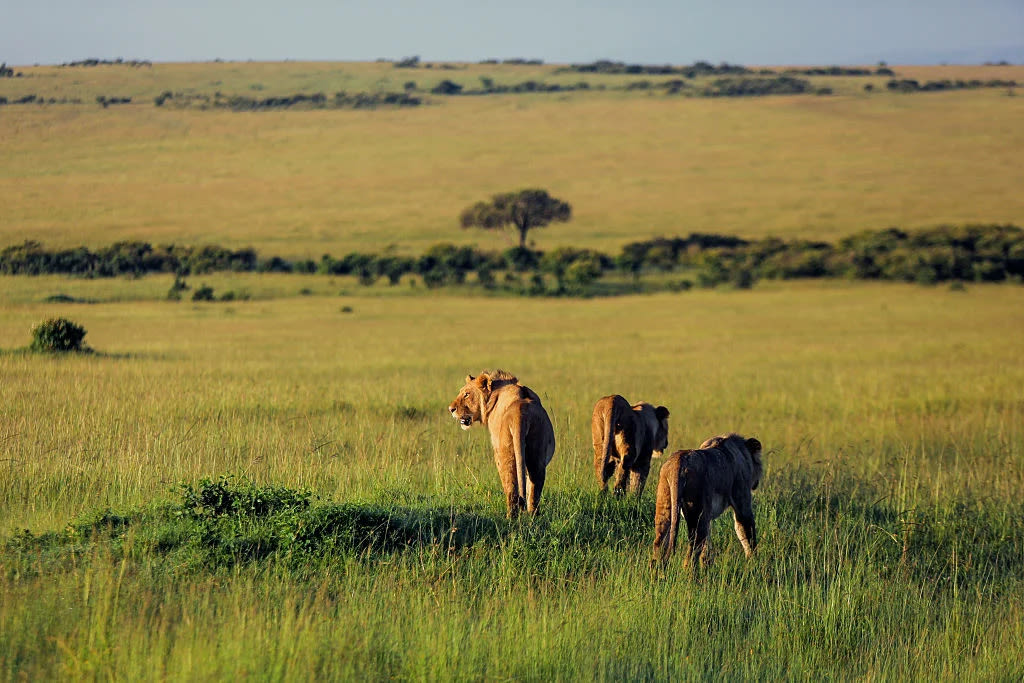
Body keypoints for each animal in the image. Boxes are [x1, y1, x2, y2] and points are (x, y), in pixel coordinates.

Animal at [448, 370, 556, 518]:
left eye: (466, 394)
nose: (450, 409)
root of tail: (520, 411)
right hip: (536, 453)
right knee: (534, 489)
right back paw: (533, 516)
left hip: (504, 453)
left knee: (511, 489)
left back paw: (510, 518)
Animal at [651, 433, 763, 568]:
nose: (757, 482)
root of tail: (679, 463)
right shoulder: (742, 502)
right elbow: (747, 532)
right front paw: (753, 562)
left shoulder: (707, 517)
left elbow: (707, 545)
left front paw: (707, 565)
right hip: (697, 512)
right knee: (692, 552)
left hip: (665, 503)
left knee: (659, 543)